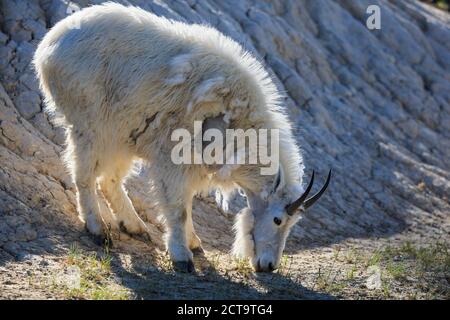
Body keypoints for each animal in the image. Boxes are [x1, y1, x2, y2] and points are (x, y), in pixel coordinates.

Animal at [33, 2, 330, 272]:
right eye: (278, 219)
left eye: (292, 224)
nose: (268, 266)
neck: (241, 126)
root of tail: (49, 45)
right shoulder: (173, 157)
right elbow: (178, 208)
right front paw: (182, 256)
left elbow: (186, 203)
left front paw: (193, 243)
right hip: (90, 125)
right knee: (84, 175)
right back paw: (97, 229)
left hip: (122, 135)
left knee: (110, 179)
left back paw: (134, 226)